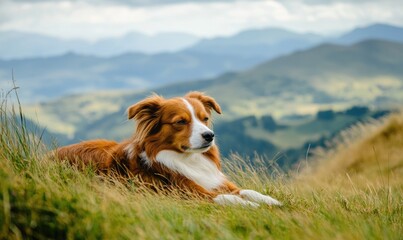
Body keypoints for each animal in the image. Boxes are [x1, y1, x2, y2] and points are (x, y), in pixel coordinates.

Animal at [56, 91, 282, 207]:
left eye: (204, 118)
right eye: (180, 122)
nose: (209, 136)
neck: (188, 159)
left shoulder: (216, 181)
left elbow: (246, 190)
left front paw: (270, 200)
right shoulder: (185, 193)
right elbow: (226, 198)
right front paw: (251, 206)